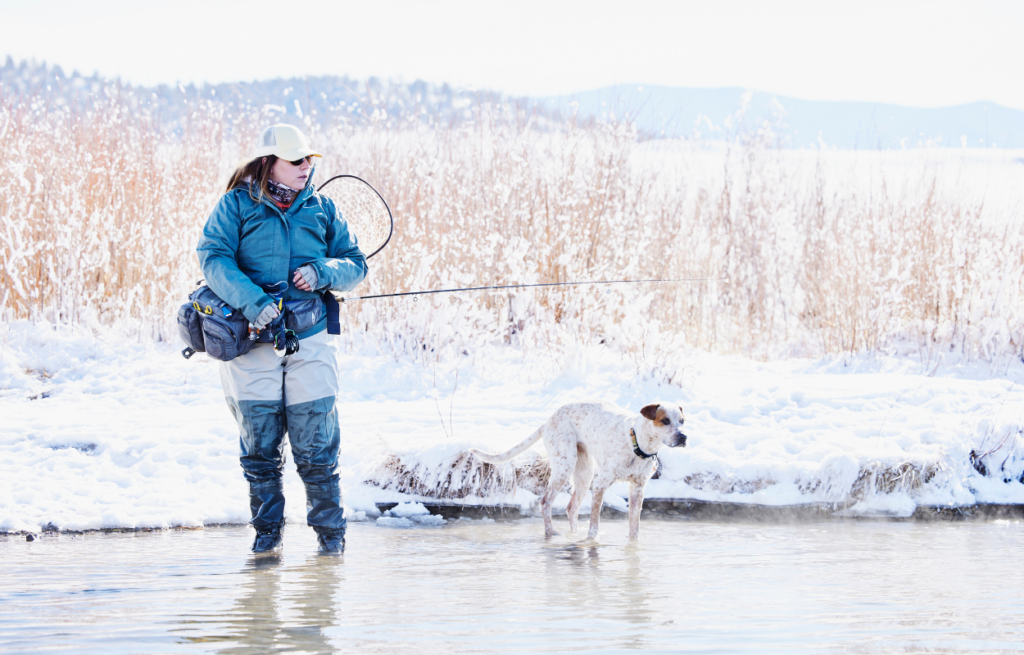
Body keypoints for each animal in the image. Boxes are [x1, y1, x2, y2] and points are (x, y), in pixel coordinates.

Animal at [471, 401, 688, 540]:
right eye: (665, 420)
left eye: (682, 421)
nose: (683, 437)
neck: (639, 445)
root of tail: (548, 420)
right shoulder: (600, 484)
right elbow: (594, 526)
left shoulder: (637, 490)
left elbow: (634, 530)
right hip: (565, 467)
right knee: (545, 502)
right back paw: (551, 533)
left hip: (584, 474)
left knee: (572, 508)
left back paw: (573, 535)